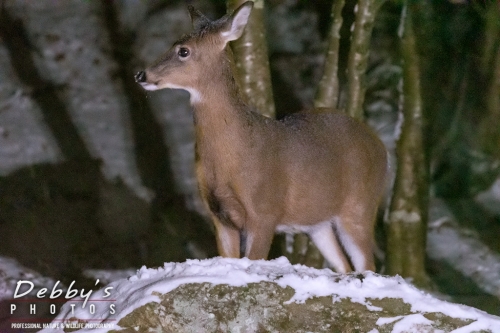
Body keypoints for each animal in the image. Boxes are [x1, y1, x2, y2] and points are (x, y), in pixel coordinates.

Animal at [135, 1, 388, 272]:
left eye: (183, 51)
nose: (141, 75)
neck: (233, 156)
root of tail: (380, 146)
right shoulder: (219, 215)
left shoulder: (265, 211)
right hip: (318, 222)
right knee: (345, 266)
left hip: (361, 204)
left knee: (367, 264)